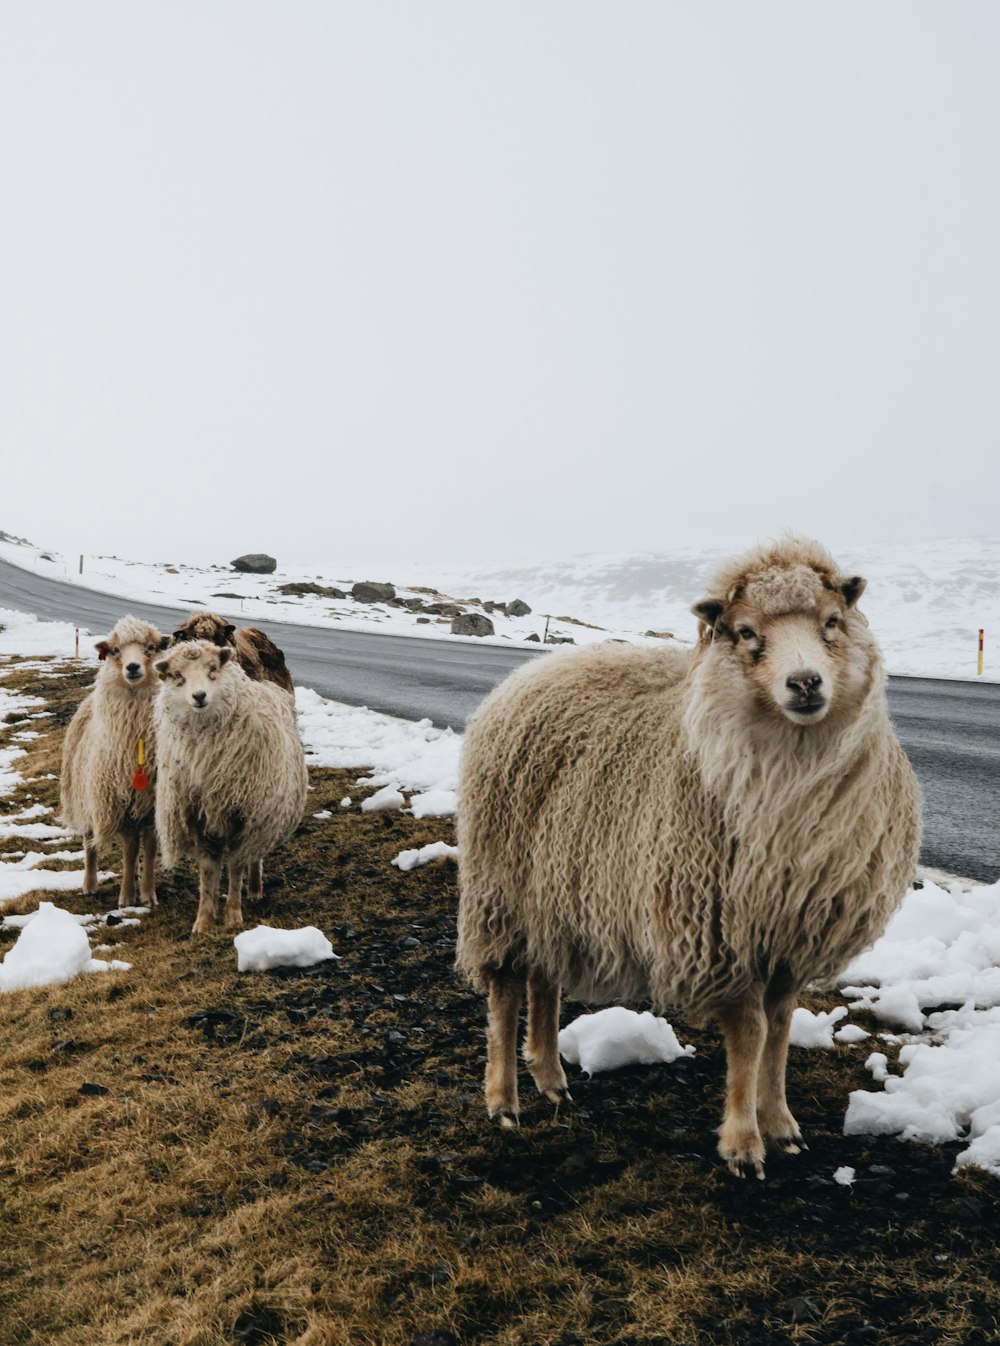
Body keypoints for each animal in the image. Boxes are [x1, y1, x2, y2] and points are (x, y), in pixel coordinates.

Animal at [60, 616, 170, 909]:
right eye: (115, 650)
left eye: (151, 647)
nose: (132, 667)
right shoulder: (119, 801)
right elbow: (130, 850)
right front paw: (127, 897)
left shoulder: (152, 803)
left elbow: (150, 847)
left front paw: (148, 894)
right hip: (88, 796)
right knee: (89, 844)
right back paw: (89, 885)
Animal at [152, 635, 306, 931]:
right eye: (177, 675)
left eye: (213, 668)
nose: (199, 696)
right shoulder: (198, 816)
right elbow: (207, 870)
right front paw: (204, 919)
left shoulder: (242, 816)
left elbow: (235, 866)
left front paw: (233, 916)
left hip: (263, 809)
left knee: (253, 855)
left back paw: (254, 889)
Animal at [454, 535, 920, 1179]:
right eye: (746, 632)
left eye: (831, 621)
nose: (805, 683)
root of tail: (532, 670)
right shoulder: (723, 931)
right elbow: (751, 1033)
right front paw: (743, 1143)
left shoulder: (789, 934)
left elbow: (780, 1029)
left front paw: (782, 1125)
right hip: (501, 883)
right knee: (504, 989)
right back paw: (504, 1099)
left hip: (556, 886)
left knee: (544, 979)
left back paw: (551, 1079)